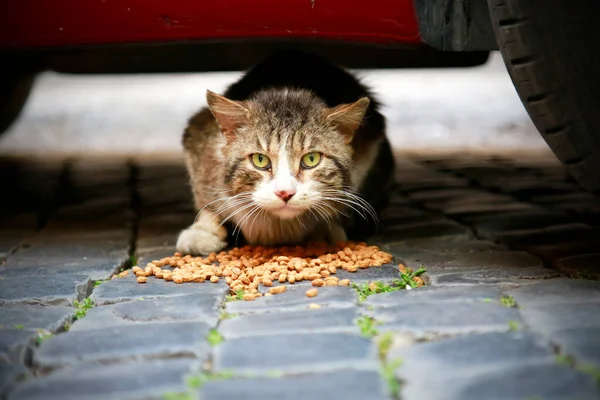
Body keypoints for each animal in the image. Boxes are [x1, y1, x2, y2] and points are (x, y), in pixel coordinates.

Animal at [176, 50, 396, 255]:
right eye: (260, 160)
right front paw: (204, 230)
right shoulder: (199, 139)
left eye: (311, 159)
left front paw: (326, 230)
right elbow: (206, 201)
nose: (285, 193)